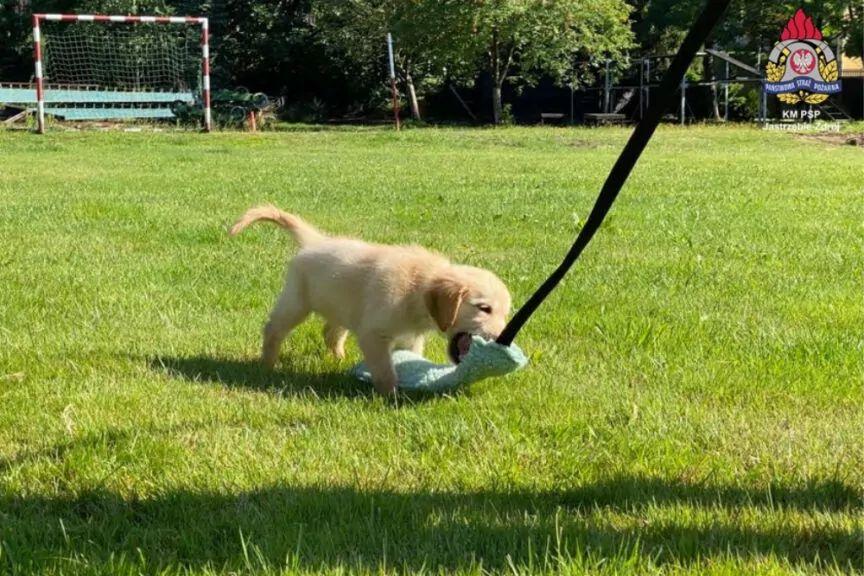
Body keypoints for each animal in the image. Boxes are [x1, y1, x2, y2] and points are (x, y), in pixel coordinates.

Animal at [231, 205, 512, 394]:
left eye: (505, 313)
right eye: (484, 308)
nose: (503, 338)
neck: (417, 284)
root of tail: (315, 241)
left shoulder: (411, 337)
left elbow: (409, 357)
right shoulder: (374, 334)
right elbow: (385, 369)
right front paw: (391, 394)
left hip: (344, 305)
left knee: (330, 332)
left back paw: (339, 358)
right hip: (297, 301)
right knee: (274, 329)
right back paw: (268, 363)